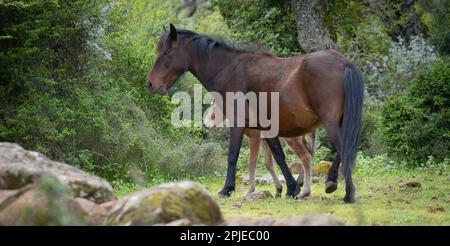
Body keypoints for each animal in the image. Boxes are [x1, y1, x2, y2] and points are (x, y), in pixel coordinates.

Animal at [147, 24, 362, 204]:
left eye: (167, 52)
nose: (151, 84)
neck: (230, 70)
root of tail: (344, 63)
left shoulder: (239, 125)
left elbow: (233, 155)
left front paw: (227, 189)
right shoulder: (266, 129)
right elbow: (277, 157)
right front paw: (291, 189)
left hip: (330, 122)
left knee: (342, 149)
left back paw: (345, 191)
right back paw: (326, 184)